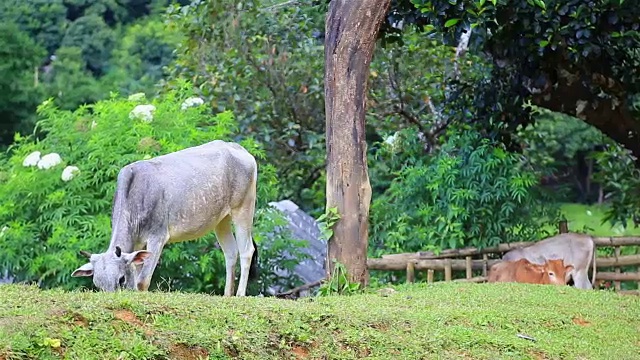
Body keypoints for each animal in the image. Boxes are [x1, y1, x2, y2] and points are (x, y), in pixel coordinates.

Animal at [72, 139, 258, 296]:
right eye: (97, 284)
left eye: (121, 279)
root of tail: (237, 148)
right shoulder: (137, 244)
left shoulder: (158, 236)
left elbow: (142, 281)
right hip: (221, 220)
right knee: (231, 252)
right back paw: (227, 295)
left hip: (243, 208)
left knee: (246, 250)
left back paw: (240, 294)